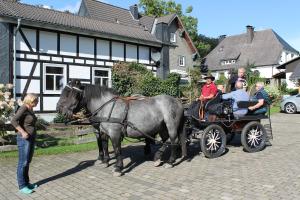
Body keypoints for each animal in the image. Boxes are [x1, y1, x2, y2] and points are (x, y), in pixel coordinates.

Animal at [56, 80, 186, 176]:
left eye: (69, 92)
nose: (58, 109)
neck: (106, 107)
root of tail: (177, 101)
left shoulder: (115, 133)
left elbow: (117, 149)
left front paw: (118, 168)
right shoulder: (103, 131)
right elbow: (104, 145)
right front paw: (105, 161)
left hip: (171, 125)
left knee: (174, 140)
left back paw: (170, 161)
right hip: (162, 127)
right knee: (166, 141)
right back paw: (158, 158)